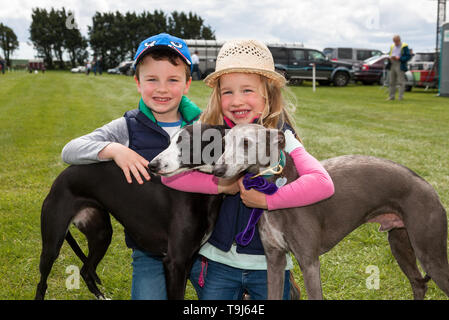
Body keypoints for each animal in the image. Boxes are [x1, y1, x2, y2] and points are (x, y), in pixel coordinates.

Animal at [150, 123, 448, 300]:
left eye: (245, 143)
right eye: (224, 143)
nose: (219, 171)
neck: (274, 184)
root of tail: (428, 186)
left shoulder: (309, 261)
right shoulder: (274, 259)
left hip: (430, 251)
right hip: (400, 243)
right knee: (419, 282)